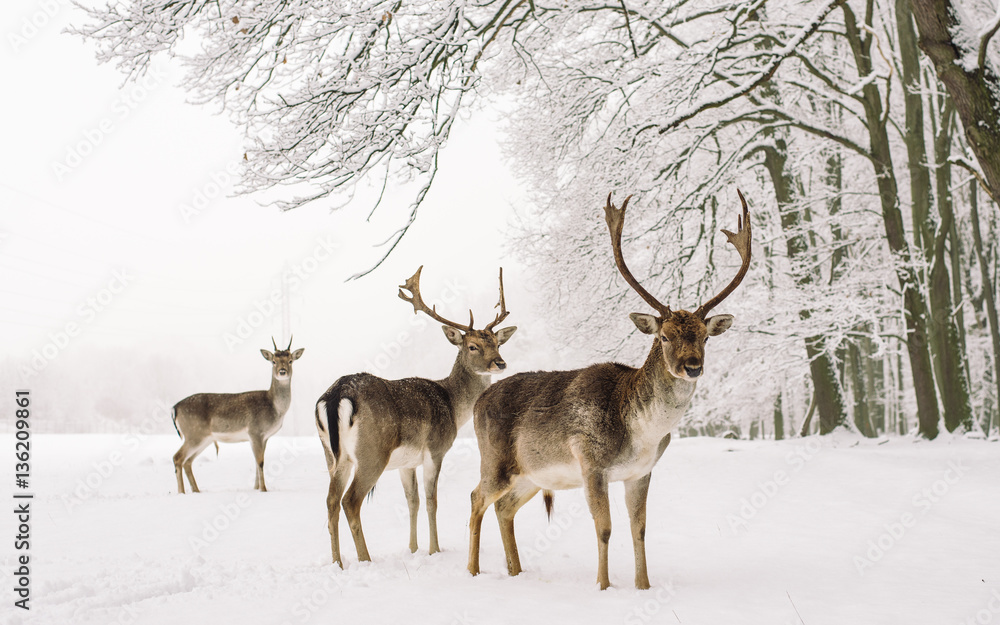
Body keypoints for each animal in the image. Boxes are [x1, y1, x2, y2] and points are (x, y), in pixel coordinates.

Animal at [172, 337, 304, 494]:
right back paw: (181, 492)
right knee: (177, 458)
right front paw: (263, 489)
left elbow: (256, 462)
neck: (276, 408)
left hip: (204, 438)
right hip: (194, 433)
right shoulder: (255, 431)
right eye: (273, 361)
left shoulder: (264, 437)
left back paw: (196, 491)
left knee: (188, 461)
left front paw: (256, 488)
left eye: (290, 360)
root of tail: (175, 408)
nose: (282, 372)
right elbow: (260, 462)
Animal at [315, 267, 516, 567]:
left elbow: (412, 501)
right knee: (350, 501)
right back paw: (366, 559)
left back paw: (337, 563)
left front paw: (412, 549)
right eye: (472, 346)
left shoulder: (406, 463)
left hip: (333, 456)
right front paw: (434, 550)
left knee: (330, 501)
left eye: (496, 343)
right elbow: (432, 500)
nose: (500, 363)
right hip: (372, 452)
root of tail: (337, 394)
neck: (453, 405)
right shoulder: (435, 449)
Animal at [467, 190, 752, 590]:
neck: (642, 432)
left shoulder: (642, 471)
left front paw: (643, 585)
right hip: (495, 460)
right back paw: (473, 570)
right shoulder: (591, 462)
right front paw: (603, 585)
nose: (692, 366)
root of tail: (478, 401)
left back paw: (515, 571)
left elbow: (640, 529)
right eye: (665, 336)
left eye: (704, 336)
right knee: (476, 497)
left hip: (531, 475)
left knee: (503, 507)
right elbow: (604, 528)